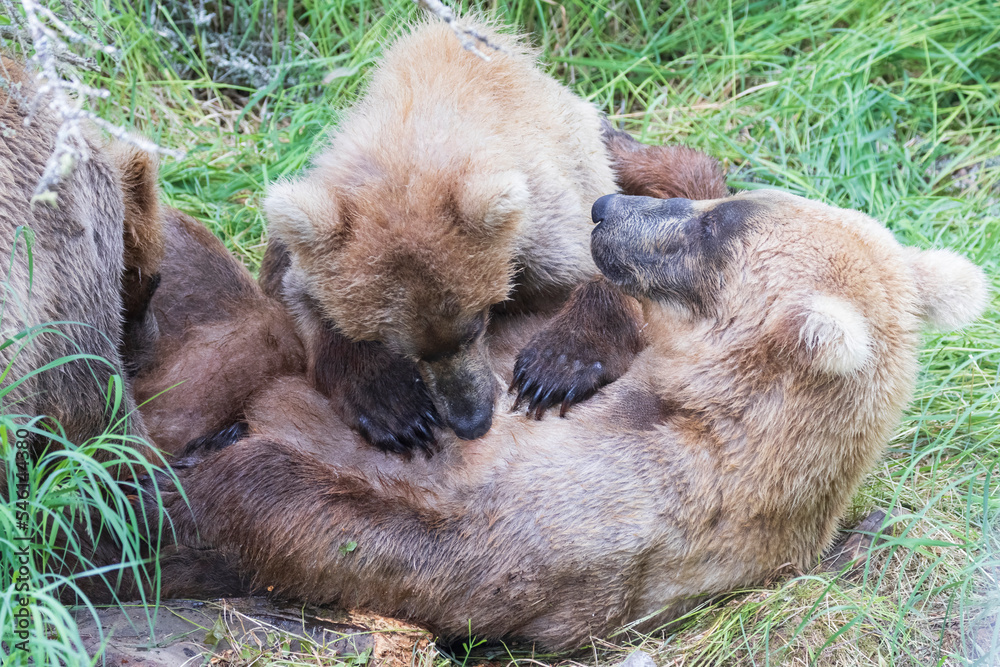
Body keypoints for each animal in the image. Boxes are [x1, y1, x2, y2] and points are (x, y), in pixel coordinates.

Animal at [142, 188, 987, 651]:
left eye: (716, 228)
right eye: (731, 202)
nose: (607, 208)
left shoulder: (610, 518)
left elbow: (396, 542)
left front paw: (214, 472)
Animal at [262, 16, 727, 455]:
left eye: (476, 323)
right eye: (398, 345)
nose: (472, 422)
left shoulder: (544, 216)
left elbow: (602, 264)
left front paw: (552, 369)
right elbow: (304, 301)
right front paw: (395, 408)